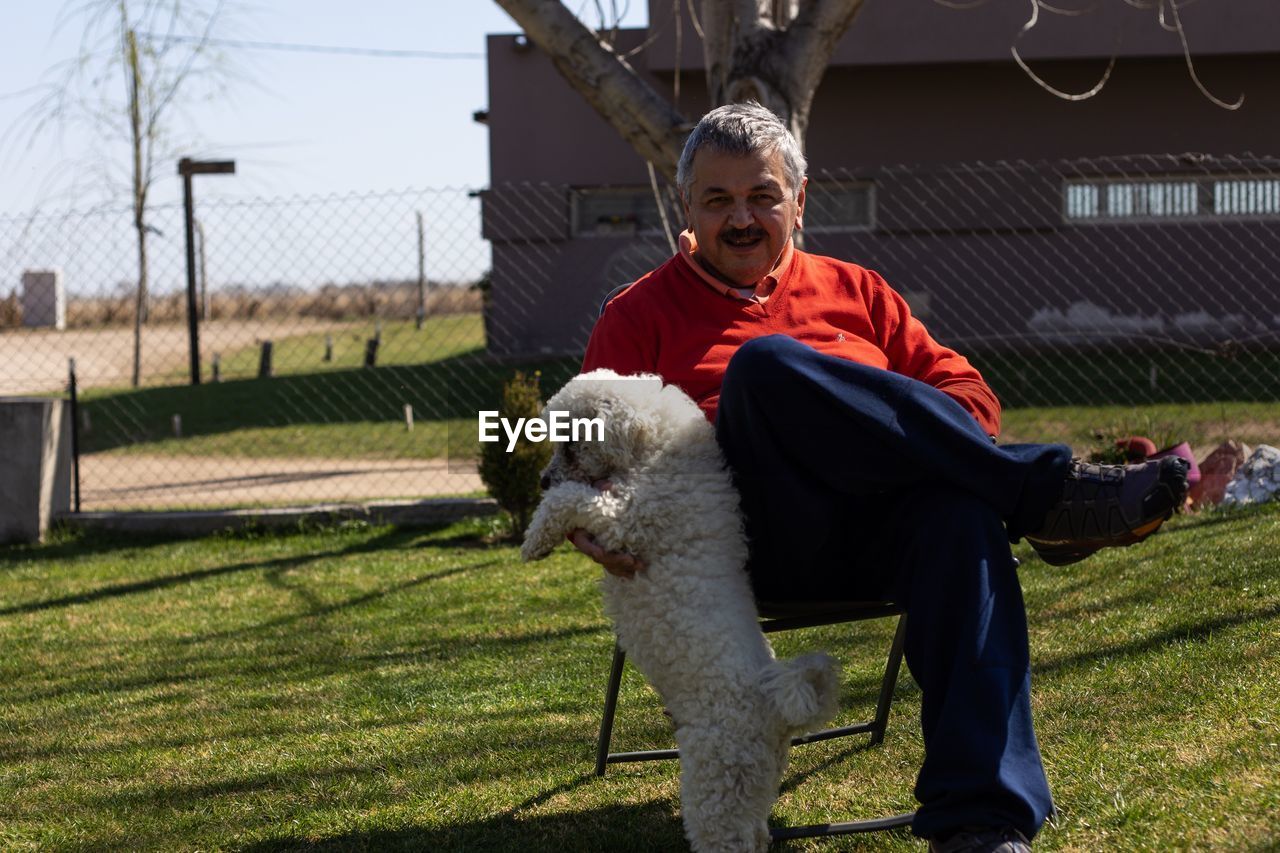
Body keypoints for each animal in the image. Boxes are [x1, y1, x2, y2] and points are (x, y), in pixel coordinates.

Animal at [519, 366, 839, 850]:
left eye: (572, 444)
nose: (541, 481)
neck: (651, 450)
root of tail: (775, 706)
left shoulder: (623, 520)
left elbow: (568, 499)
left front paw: (534, 540)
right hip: (754, 777)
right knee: (755, 831)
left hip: (717, 777)